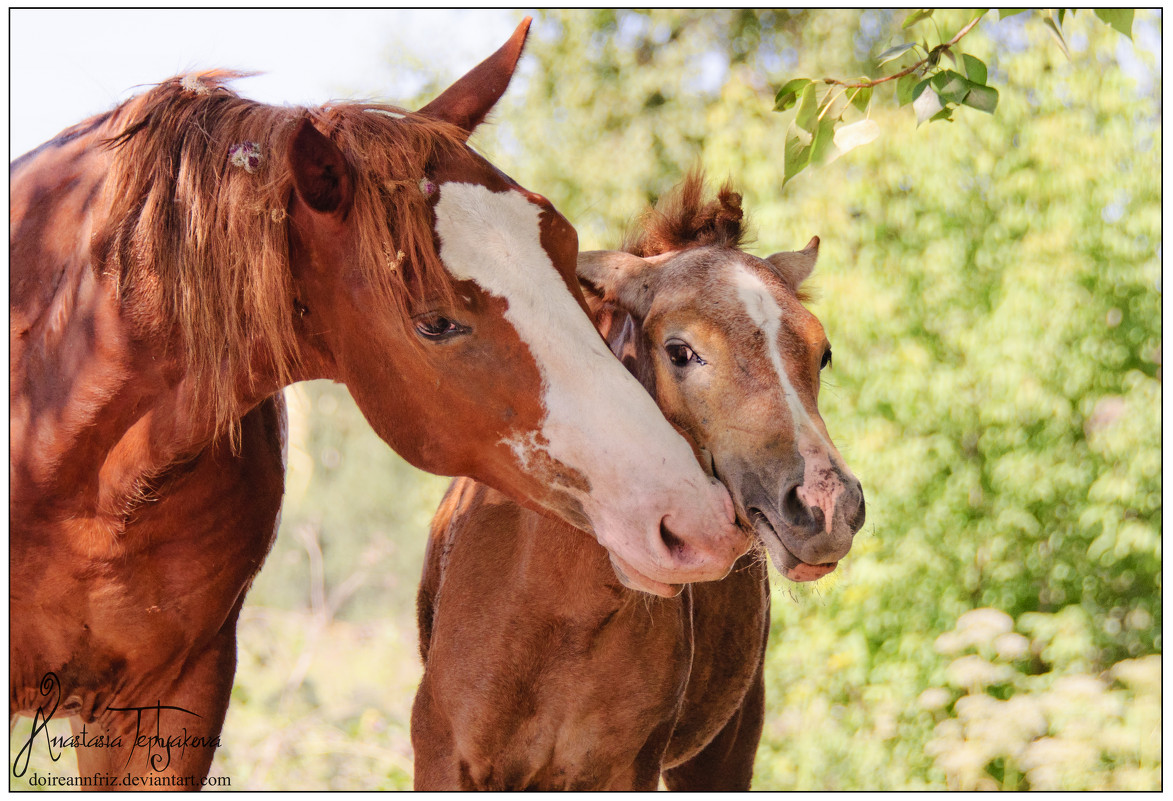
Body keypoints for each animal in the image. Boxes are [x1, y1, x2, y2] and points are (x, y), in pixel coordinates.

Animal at [410, 175, 863, 788]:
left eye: (824, 353)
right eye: (680, 351)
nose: (827, 508)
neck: (555, 612)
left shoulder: (630, 768)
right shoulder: (444, 757)